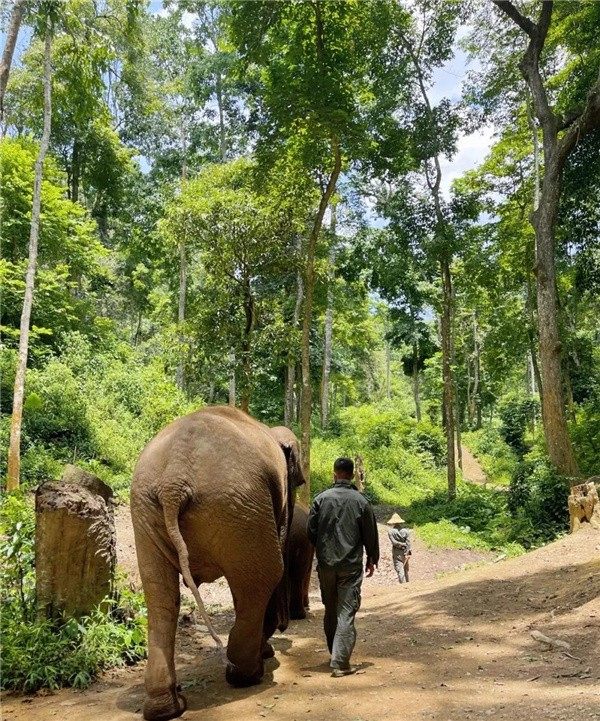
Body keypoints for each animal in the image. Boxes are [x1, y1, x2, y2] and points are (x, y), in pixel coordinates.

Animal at [129, 404, 302, 720]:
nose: (287, 627)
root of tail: (174, 479)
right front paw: (267, 652)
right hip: (239, 506)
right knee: (263, 577)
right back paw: (247, 674)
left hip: (148, 509)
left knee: (160, 596)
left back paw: (165, 707)